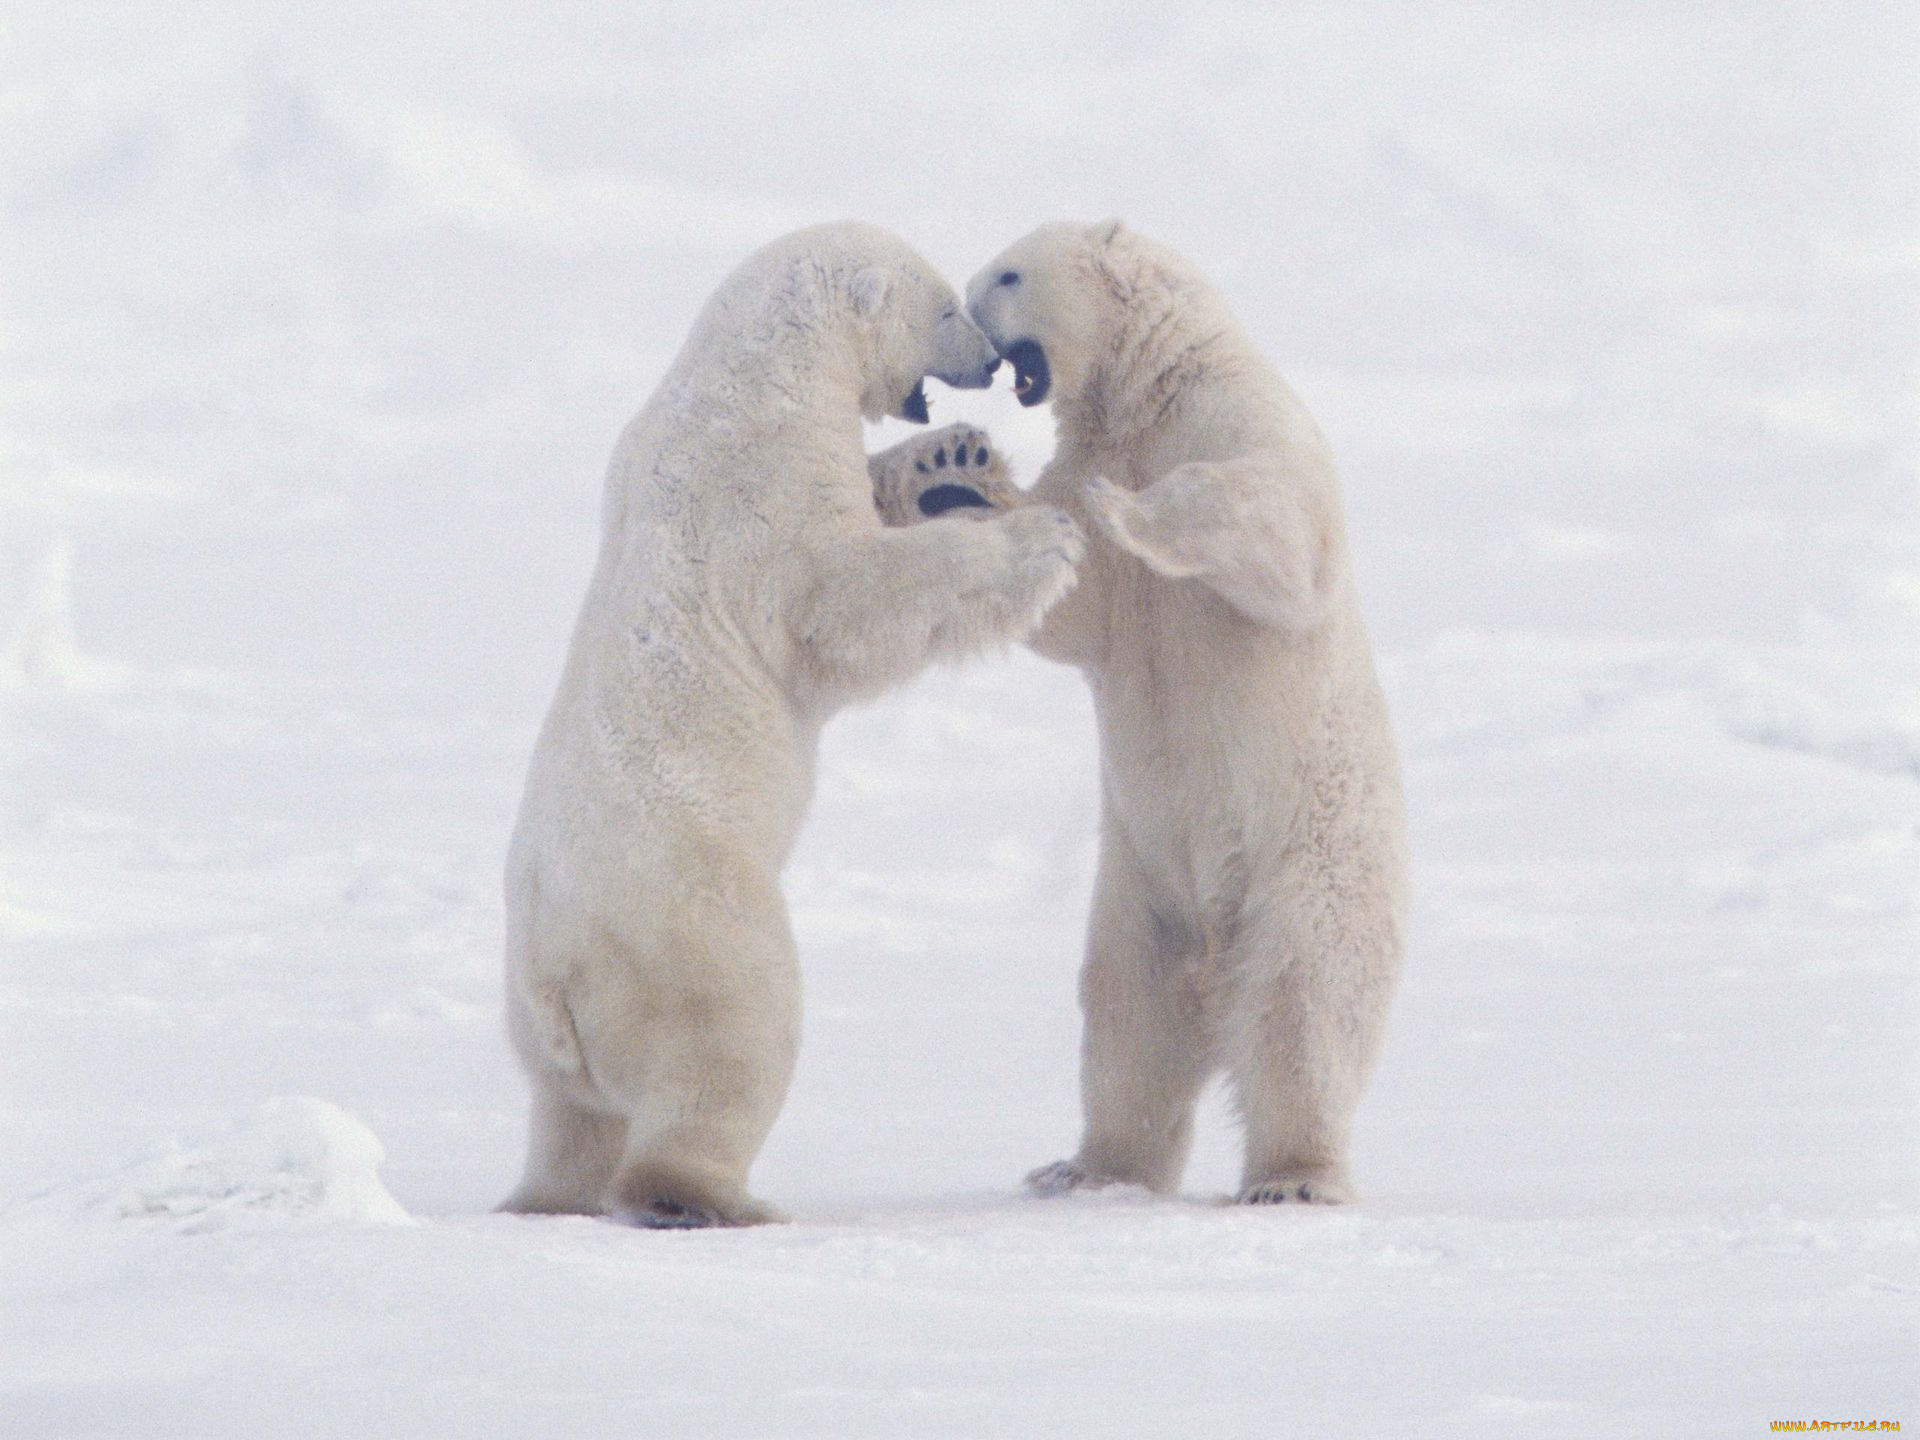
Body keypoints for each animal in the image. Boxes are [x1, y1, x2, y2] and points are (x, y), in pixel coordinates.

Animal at [503, 222, 1090, 1228]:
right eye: (946, 306)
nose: (986, 361)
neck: (751, 373)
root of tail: (553, 973)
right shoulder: (758, 483)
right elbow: (842, 597)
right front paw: (1038, 537)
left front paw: (948, 462)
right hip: (689, 919)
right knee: (733, 1038)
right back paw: (714, 1198)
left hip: (537, 1024)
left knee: (571, 1119)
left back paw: (548, 1198)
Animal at [960, 216, 1413, 1205]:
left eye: (1005, 275)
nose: (968, 322)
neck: (1143, 395)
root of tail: (1215, 949)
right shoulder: (1095, 453)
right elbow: (1079, 604)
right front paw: (970, 478)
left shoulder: (1234, 418)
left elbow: (1272, 522)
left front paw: (1131, 512)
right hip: (1141, 887)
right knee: (1127, 1018)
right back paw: (1085, 1166)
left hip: (1308, 860)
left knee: (1300, 1007)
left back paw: (1292, 1178)